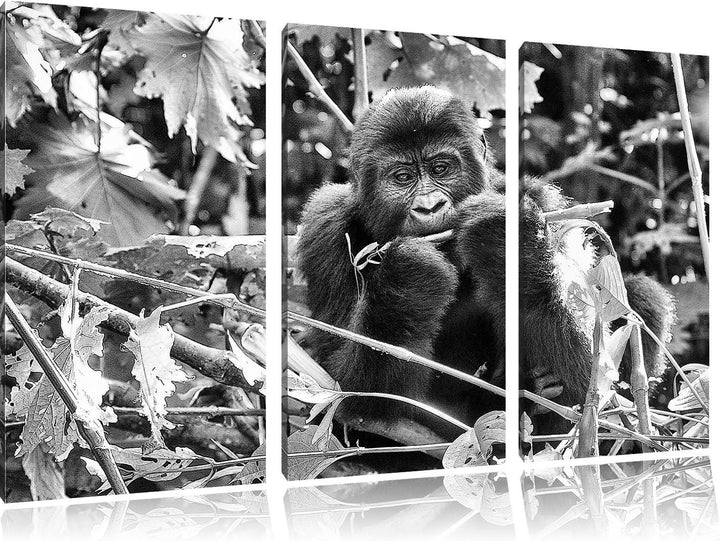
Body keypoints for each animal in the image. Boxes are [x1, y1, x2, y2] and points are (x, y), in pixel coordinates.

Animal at [295, 86, 674, 435]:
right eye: (402, 177)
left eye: (441, 168)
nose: (430, 207)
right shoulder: (325, 223)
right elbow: (339, 393)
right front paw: (405, 285)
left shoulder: (541, 202)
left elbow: (591, 393)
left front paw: (508, 243)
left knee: (638, 297)